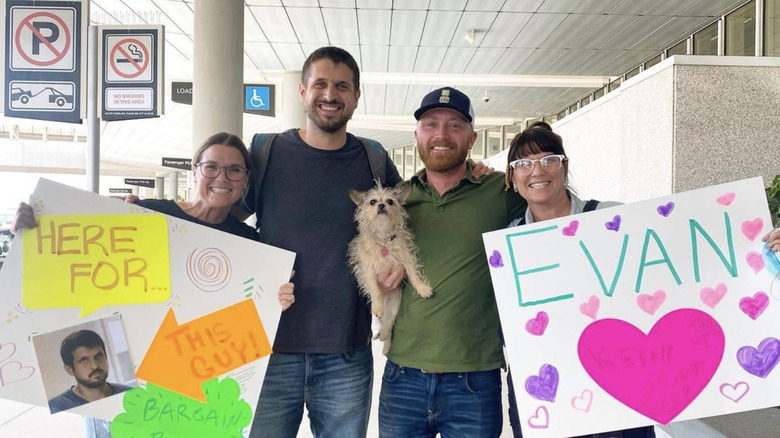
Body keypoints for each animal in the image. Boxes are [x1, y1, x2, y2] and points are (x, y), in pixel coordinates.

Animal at [348, 181, 432, 352]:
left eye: (390, 201)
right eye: (373, 202)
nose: (381, 205)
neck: (384, 239)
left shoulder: (406, 257)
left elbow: (413, 273)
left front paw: (422, 288)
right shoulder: (368, 268)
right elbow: (375, 288)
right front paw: (378, 306)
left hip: (395, 305)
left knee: (390, 321)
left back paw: (385, 336)